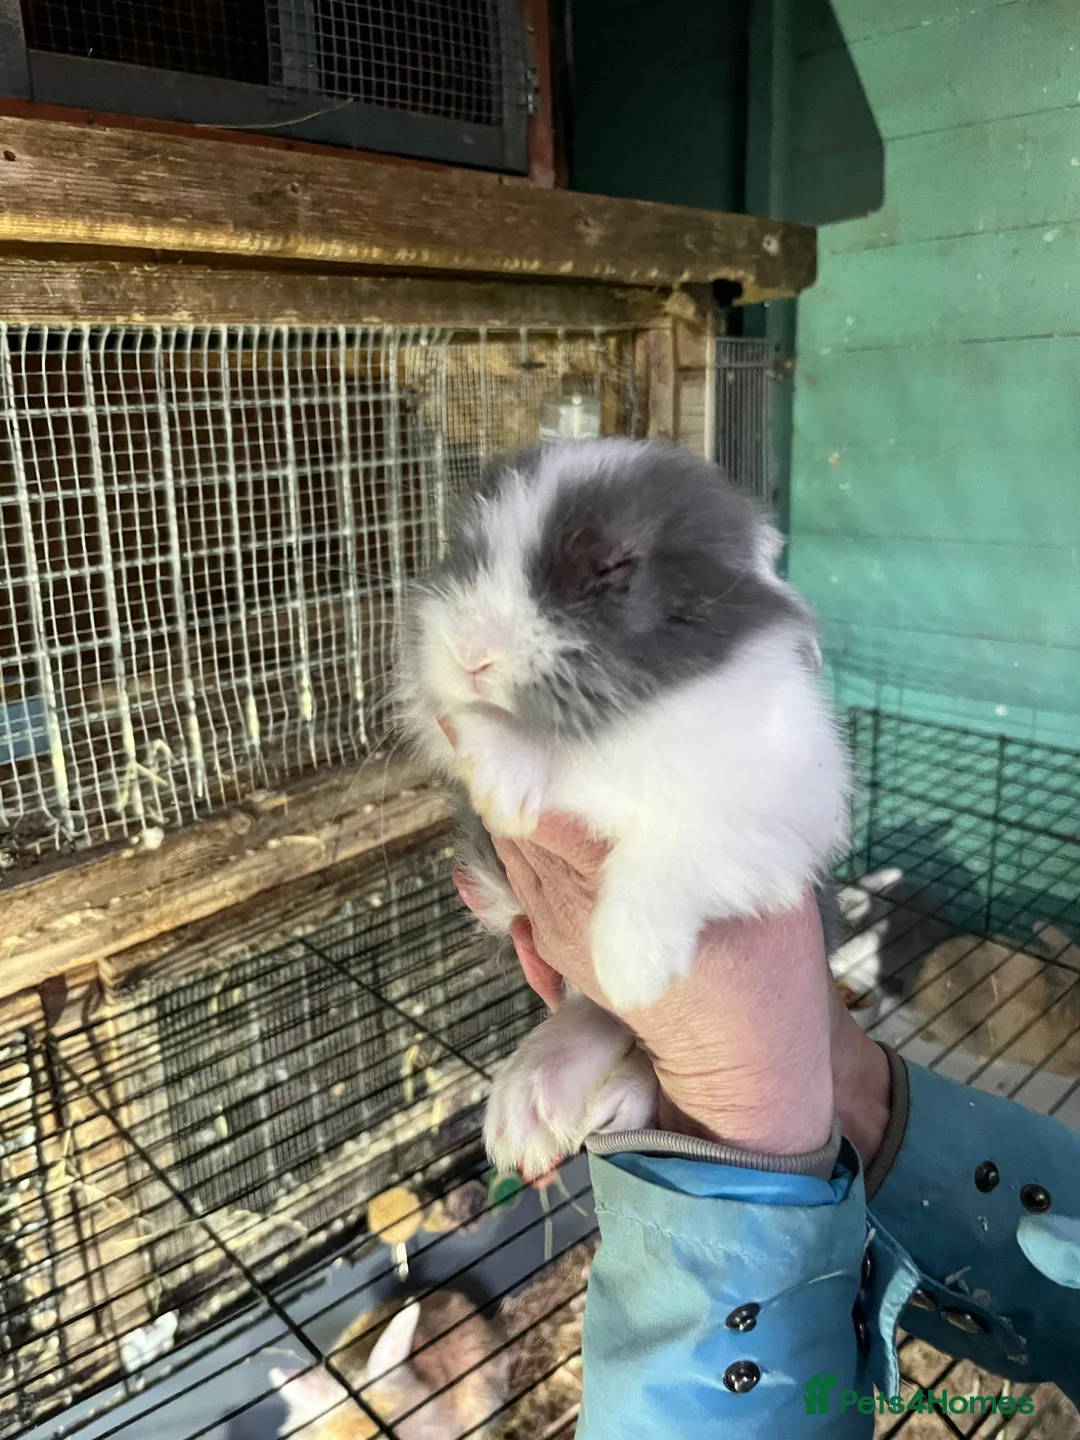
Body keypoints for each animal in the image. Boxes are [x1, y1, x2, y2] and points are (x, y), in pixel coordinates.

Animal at [395, 439, 851, 1177]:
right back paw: (529, 1103)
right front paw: (499, 766)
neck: (627, 722)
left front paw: (632, 968)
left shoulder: (784, 808)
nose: (470, 655)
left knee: (622, 1029)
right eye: (465, 551)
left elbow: (674, 853)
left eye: (611, 568)